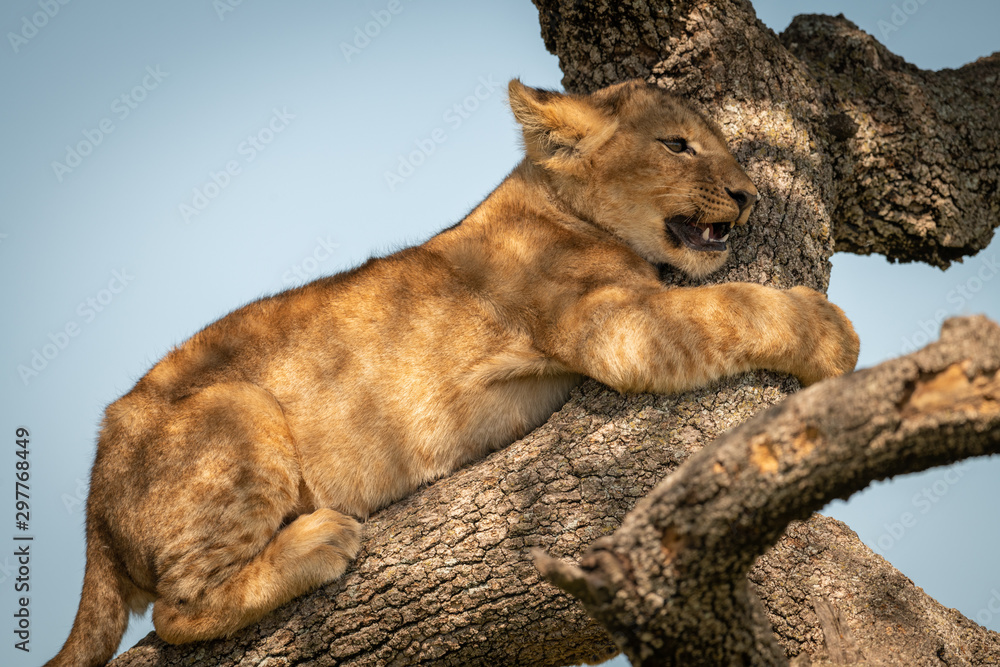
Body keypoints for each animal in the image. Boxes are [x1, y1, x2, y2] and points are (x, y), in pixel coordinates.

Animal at [47, 79, 858, 666]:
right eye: (678, 145)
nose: (749, 196)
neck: (552, 201)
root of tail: (94, 495)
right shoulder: (612, 324)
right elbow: (732, 303)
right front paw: (830, 336)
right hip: (237, 405)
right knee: (177, 609)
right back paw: (315, 542)